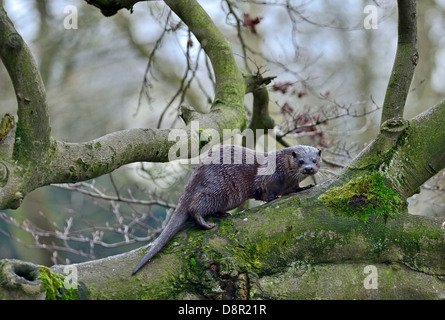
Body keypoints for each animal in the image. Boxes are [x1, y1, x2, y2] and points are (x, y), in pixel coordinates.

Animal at [131, 144, 320, 274]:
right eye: (300, 161)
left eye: (315, 160)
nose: (309, 168)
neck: (282, 169)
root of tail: (194, 176)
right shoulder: (266, 178)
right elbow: (267, 193)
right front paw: (273, 198)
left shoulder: (290, 184)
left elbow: (293, 189)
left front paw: (305, 187)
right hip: (218, 191)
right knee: (194, 207)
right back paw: (206, 223)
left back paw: (223, 214)